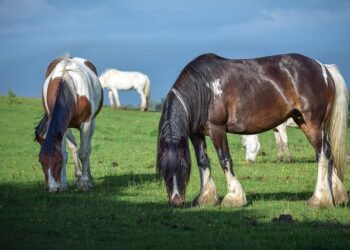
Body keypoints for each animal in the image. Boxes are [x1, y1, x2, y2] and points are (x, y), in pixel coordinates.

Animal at [34, 55, 102, 191]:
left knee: (88, 148)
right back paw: (78, 176)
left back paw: (88, 177)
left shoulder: (86, 124)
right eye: (41, 161)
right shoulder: (63, 127)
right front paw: (63, 184)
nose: (52, 188)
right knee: (74, 147)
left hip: (92, 123)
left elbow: (84, 153)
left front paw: (84, 183)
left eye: (58, 162)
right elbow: (66, 153)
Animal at [157, 53, 348, 209]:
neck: (204, 88)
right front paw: (205, 198)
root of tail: (323, 68)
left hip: (313, 124)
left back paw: (319, 199)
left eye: (183, 168)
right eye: (164, 169)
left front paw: (233, 198)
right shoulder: (196, 134)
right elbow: (203, 162)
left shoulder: (217, 129)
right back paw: (336, 196)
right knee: (329, 153)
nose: (176, 202)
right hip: (308, 123)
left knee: (322, 155)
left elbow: (224, 160)